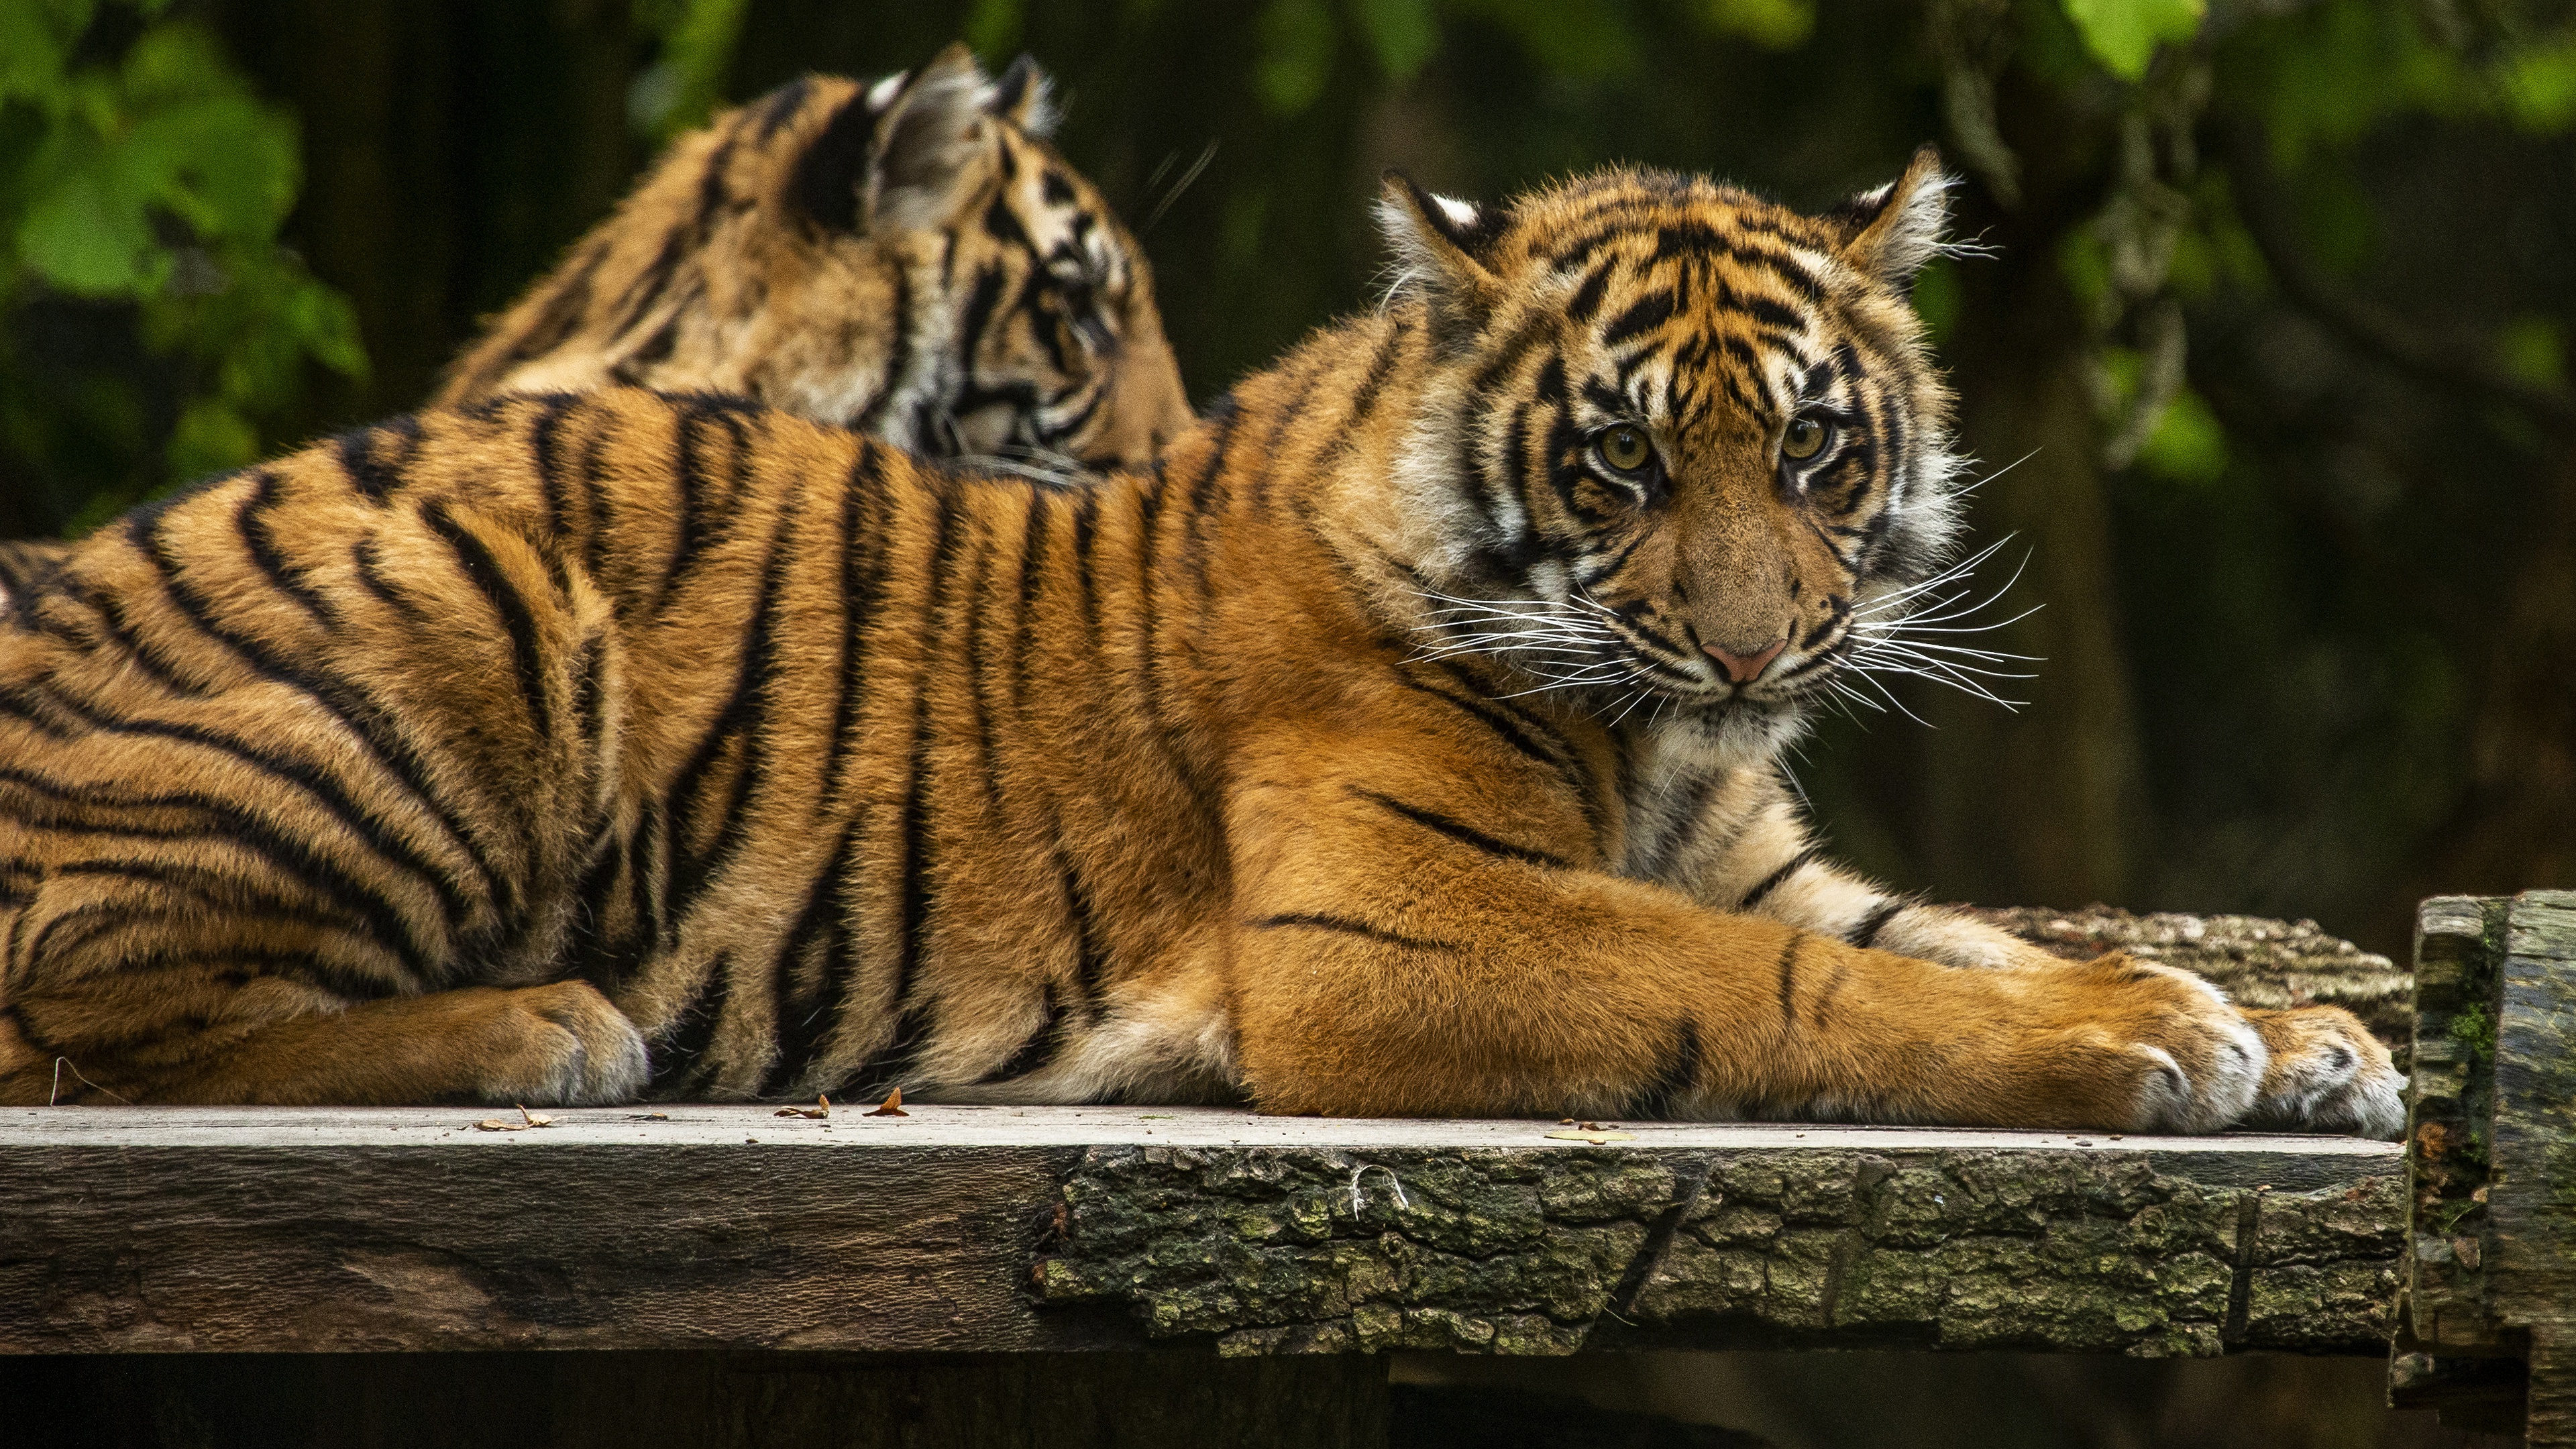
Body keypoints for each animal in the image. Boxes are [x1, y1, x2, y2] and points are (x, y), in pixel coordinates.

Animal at [5, 152, 2411, 1134]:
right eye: (1625, 466)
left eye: (1817, 455)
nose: (1750, 660)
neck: (1671, 751)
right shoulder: (1391, 919)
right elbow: (1799, 993)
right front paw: (2158, 1046)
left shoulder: (1770, 858)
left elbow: (1963, 937)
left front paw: (2286, 1033)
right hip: (466, 614)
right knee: (74, 1015)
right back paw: (545, 1030)